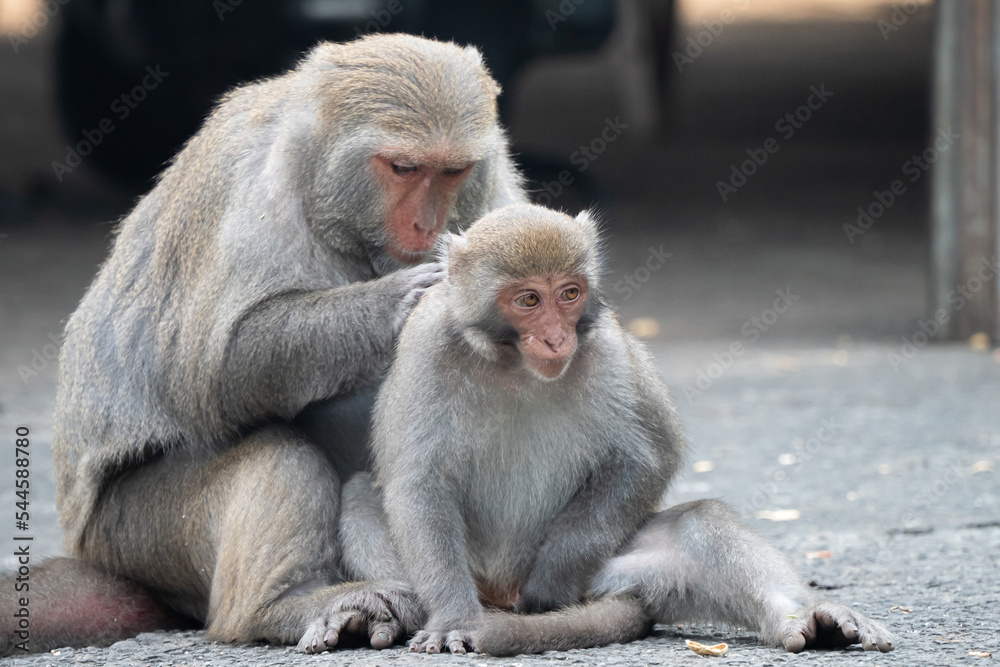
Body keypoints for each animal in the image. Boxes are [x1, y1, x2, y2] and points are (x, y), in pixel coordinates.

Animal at [0, 34, 527, 658]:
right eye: (403, 168)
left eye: (452, 171)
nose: (426, 226)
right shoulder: (250, 180)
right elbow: (212, 370)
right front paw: (406, 296)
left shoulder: (494, 198)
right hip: (134, 533)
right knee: (276, 452)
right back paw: (283, 607)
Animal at [338, 203, 897, 656]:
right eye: (528, 300)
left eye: (569, 293)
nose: (557, 337)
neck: (513, 363)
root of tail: (498, 594)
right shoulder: (427, 347)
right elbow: (418, 483)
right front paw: (452, 617)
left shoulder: (604, 344)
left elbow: (648, 457)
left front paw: (553, 576)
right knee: (362, 496)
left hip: (616, 576)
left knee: (699, 525)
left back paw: (809, 617)